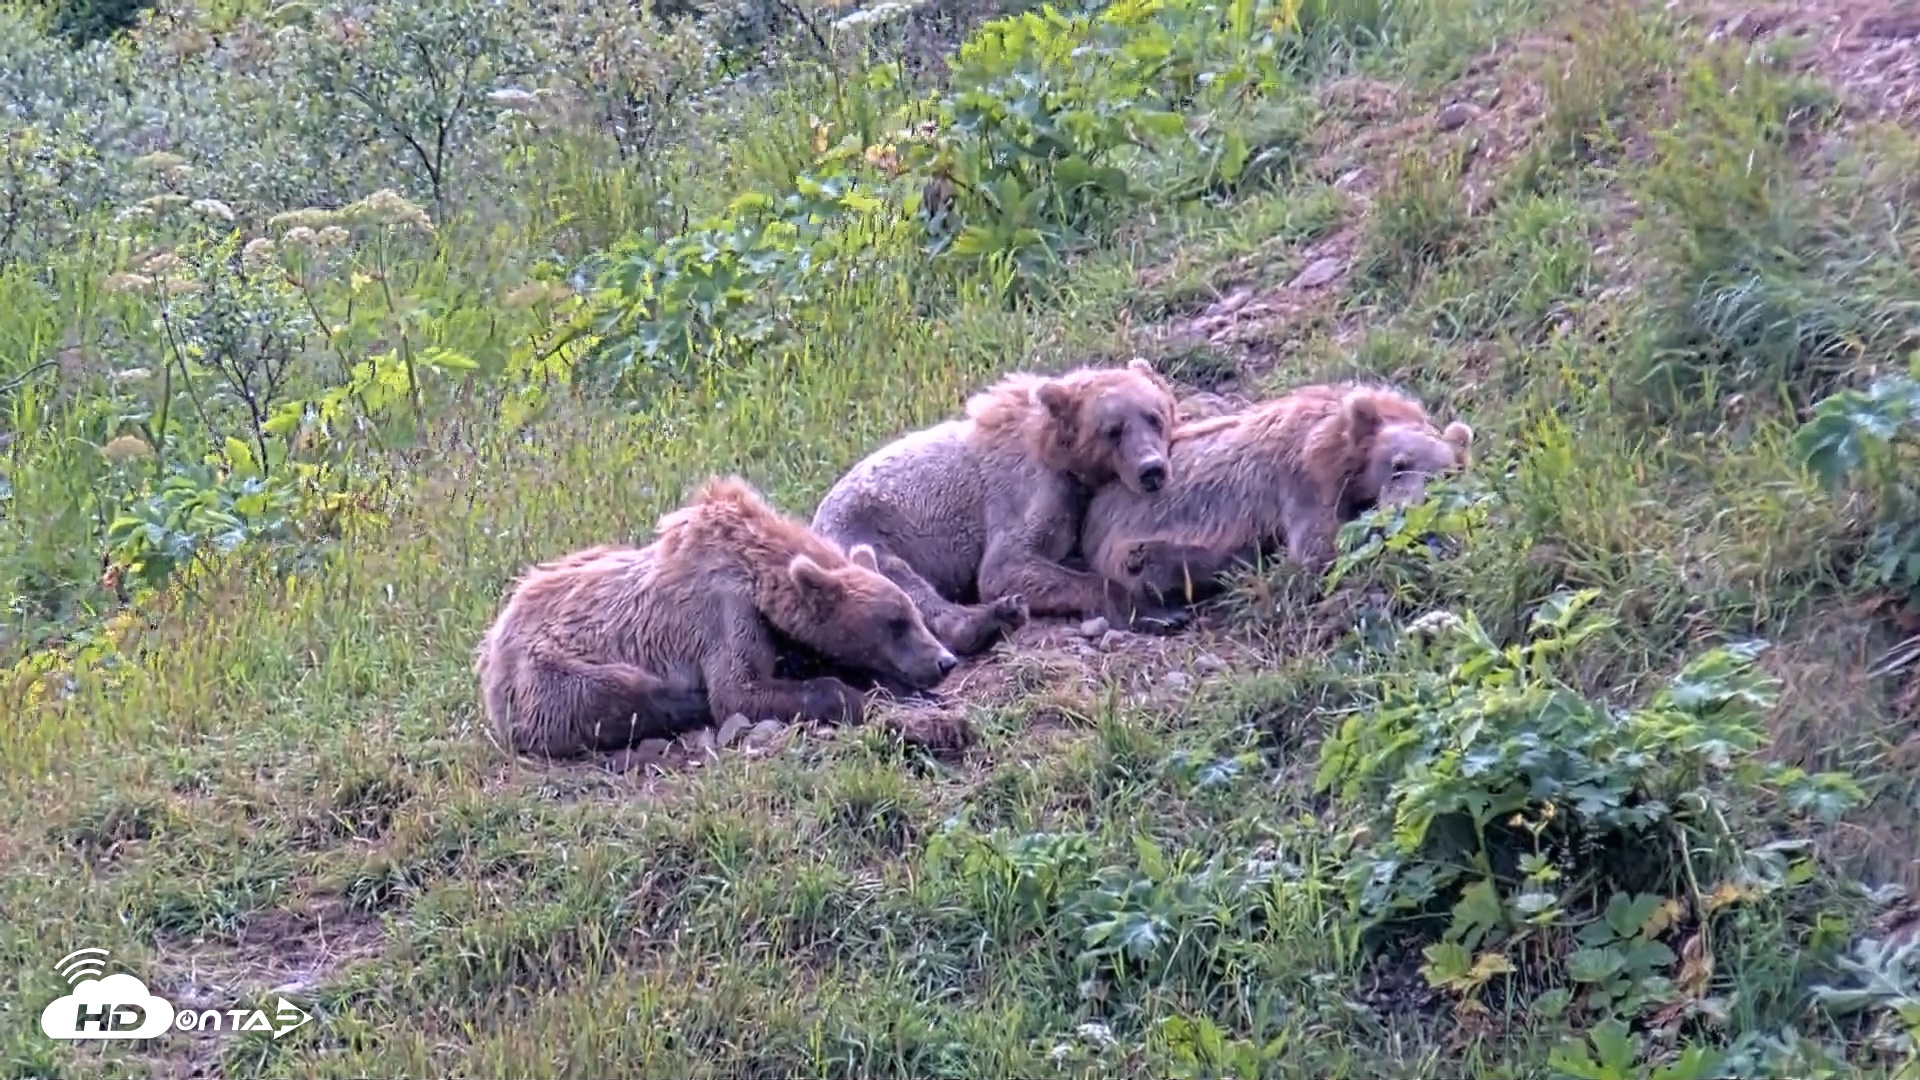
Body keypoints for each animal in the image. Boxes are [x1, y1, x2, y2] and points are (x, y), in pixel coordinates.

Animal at [474, 475, 961, 766]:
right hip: (547, 676)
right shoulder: (723, 616)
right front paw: (863, 699)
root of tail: (493, 642)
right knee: (617, 693)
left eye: (912, 614)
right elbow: (739, 690)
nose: (944, 661)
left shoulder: (784, 637)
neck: (757, 575)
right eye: (896, 622)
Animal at [811, 357, 1188, 655]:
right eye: (1112, 430)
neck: (1063, 458)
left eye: (1154, 417)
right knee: (900, 580)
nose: (1152, 470)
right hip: (862, 531)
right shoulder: (1024, 491)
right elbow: (1005, 566)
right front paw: (1157, 610)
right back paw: (993, 618)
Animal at [1079, 381, 1473, 607]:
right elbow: (1318, 548)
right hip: (1130, 537)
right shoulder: (1302, 482)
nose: (1410, 509)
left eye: (1444, 476)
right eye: (1397, 465)